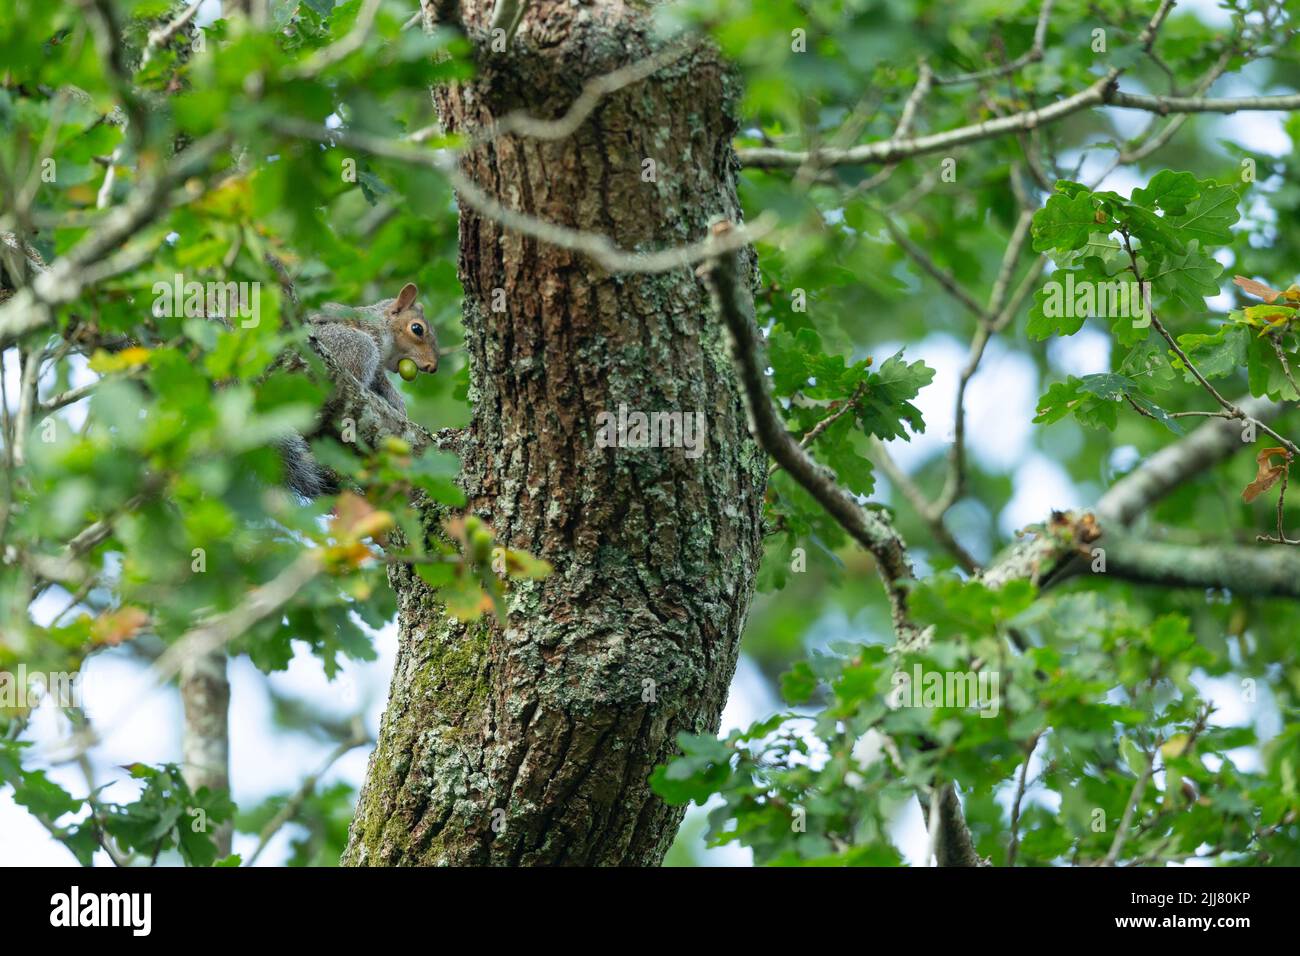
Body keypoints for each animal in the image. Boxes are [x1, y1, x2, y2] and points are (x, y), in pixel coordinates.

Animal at [281, 282, 439, 497]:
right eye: (417, 329)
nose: (433, 366)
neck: (383, 323)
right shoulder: (374, 339)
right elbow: (383, 382)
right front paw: (399, 406)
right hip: (357, 346)